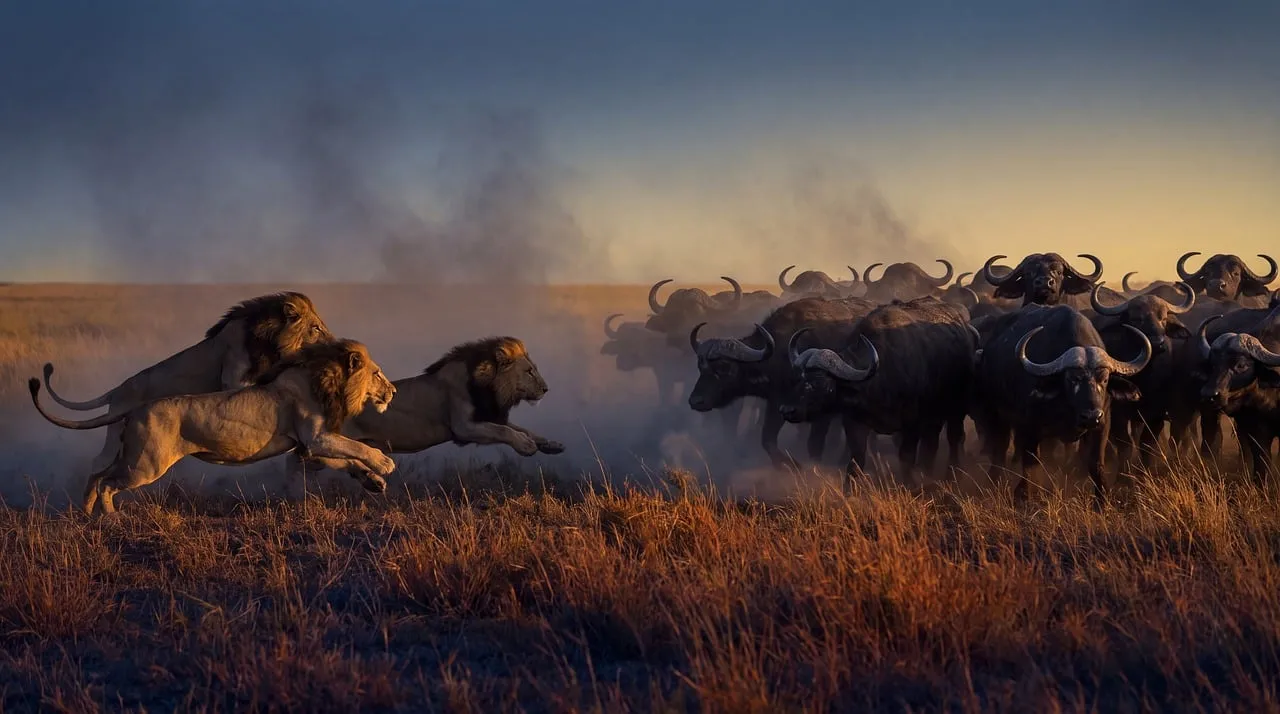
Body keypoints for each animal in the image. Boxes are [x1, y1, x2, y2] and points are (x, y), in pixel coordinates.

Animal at [29, 338, 397, 516]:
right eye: (378, 374)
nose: (393, 391)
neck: (325, 379)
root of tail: (136, 406)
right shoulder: (316, 436)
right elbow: (357, 447)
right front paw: (384, 463)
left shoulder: (309, 445)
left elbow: (347, 458)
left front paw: (374, 481)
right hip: (146, 465)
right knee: (107, 482)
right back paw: (110, 517)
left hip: (132, 457)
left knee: (97, 475)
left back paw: (87, 513)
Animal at [38, 291, 334, 482]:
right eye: (316, 328)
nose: (333, 342)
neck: (268, 339)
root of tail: (118, 389)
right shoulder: (232, 375)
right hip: (116, 430)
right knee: (98, 463)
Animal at [286, 336, 564, 487]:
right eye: (529, 371)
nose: (546, 389)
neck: (490, 386)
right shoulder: (465, 427)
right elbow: (504, 431)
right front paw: (526, 446)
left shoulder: (487, 416)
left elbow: (519, 428)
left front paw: (550, 444)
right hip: (327, 439)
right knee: (308, 457)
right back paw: (371, 476)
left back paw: (372, 480)